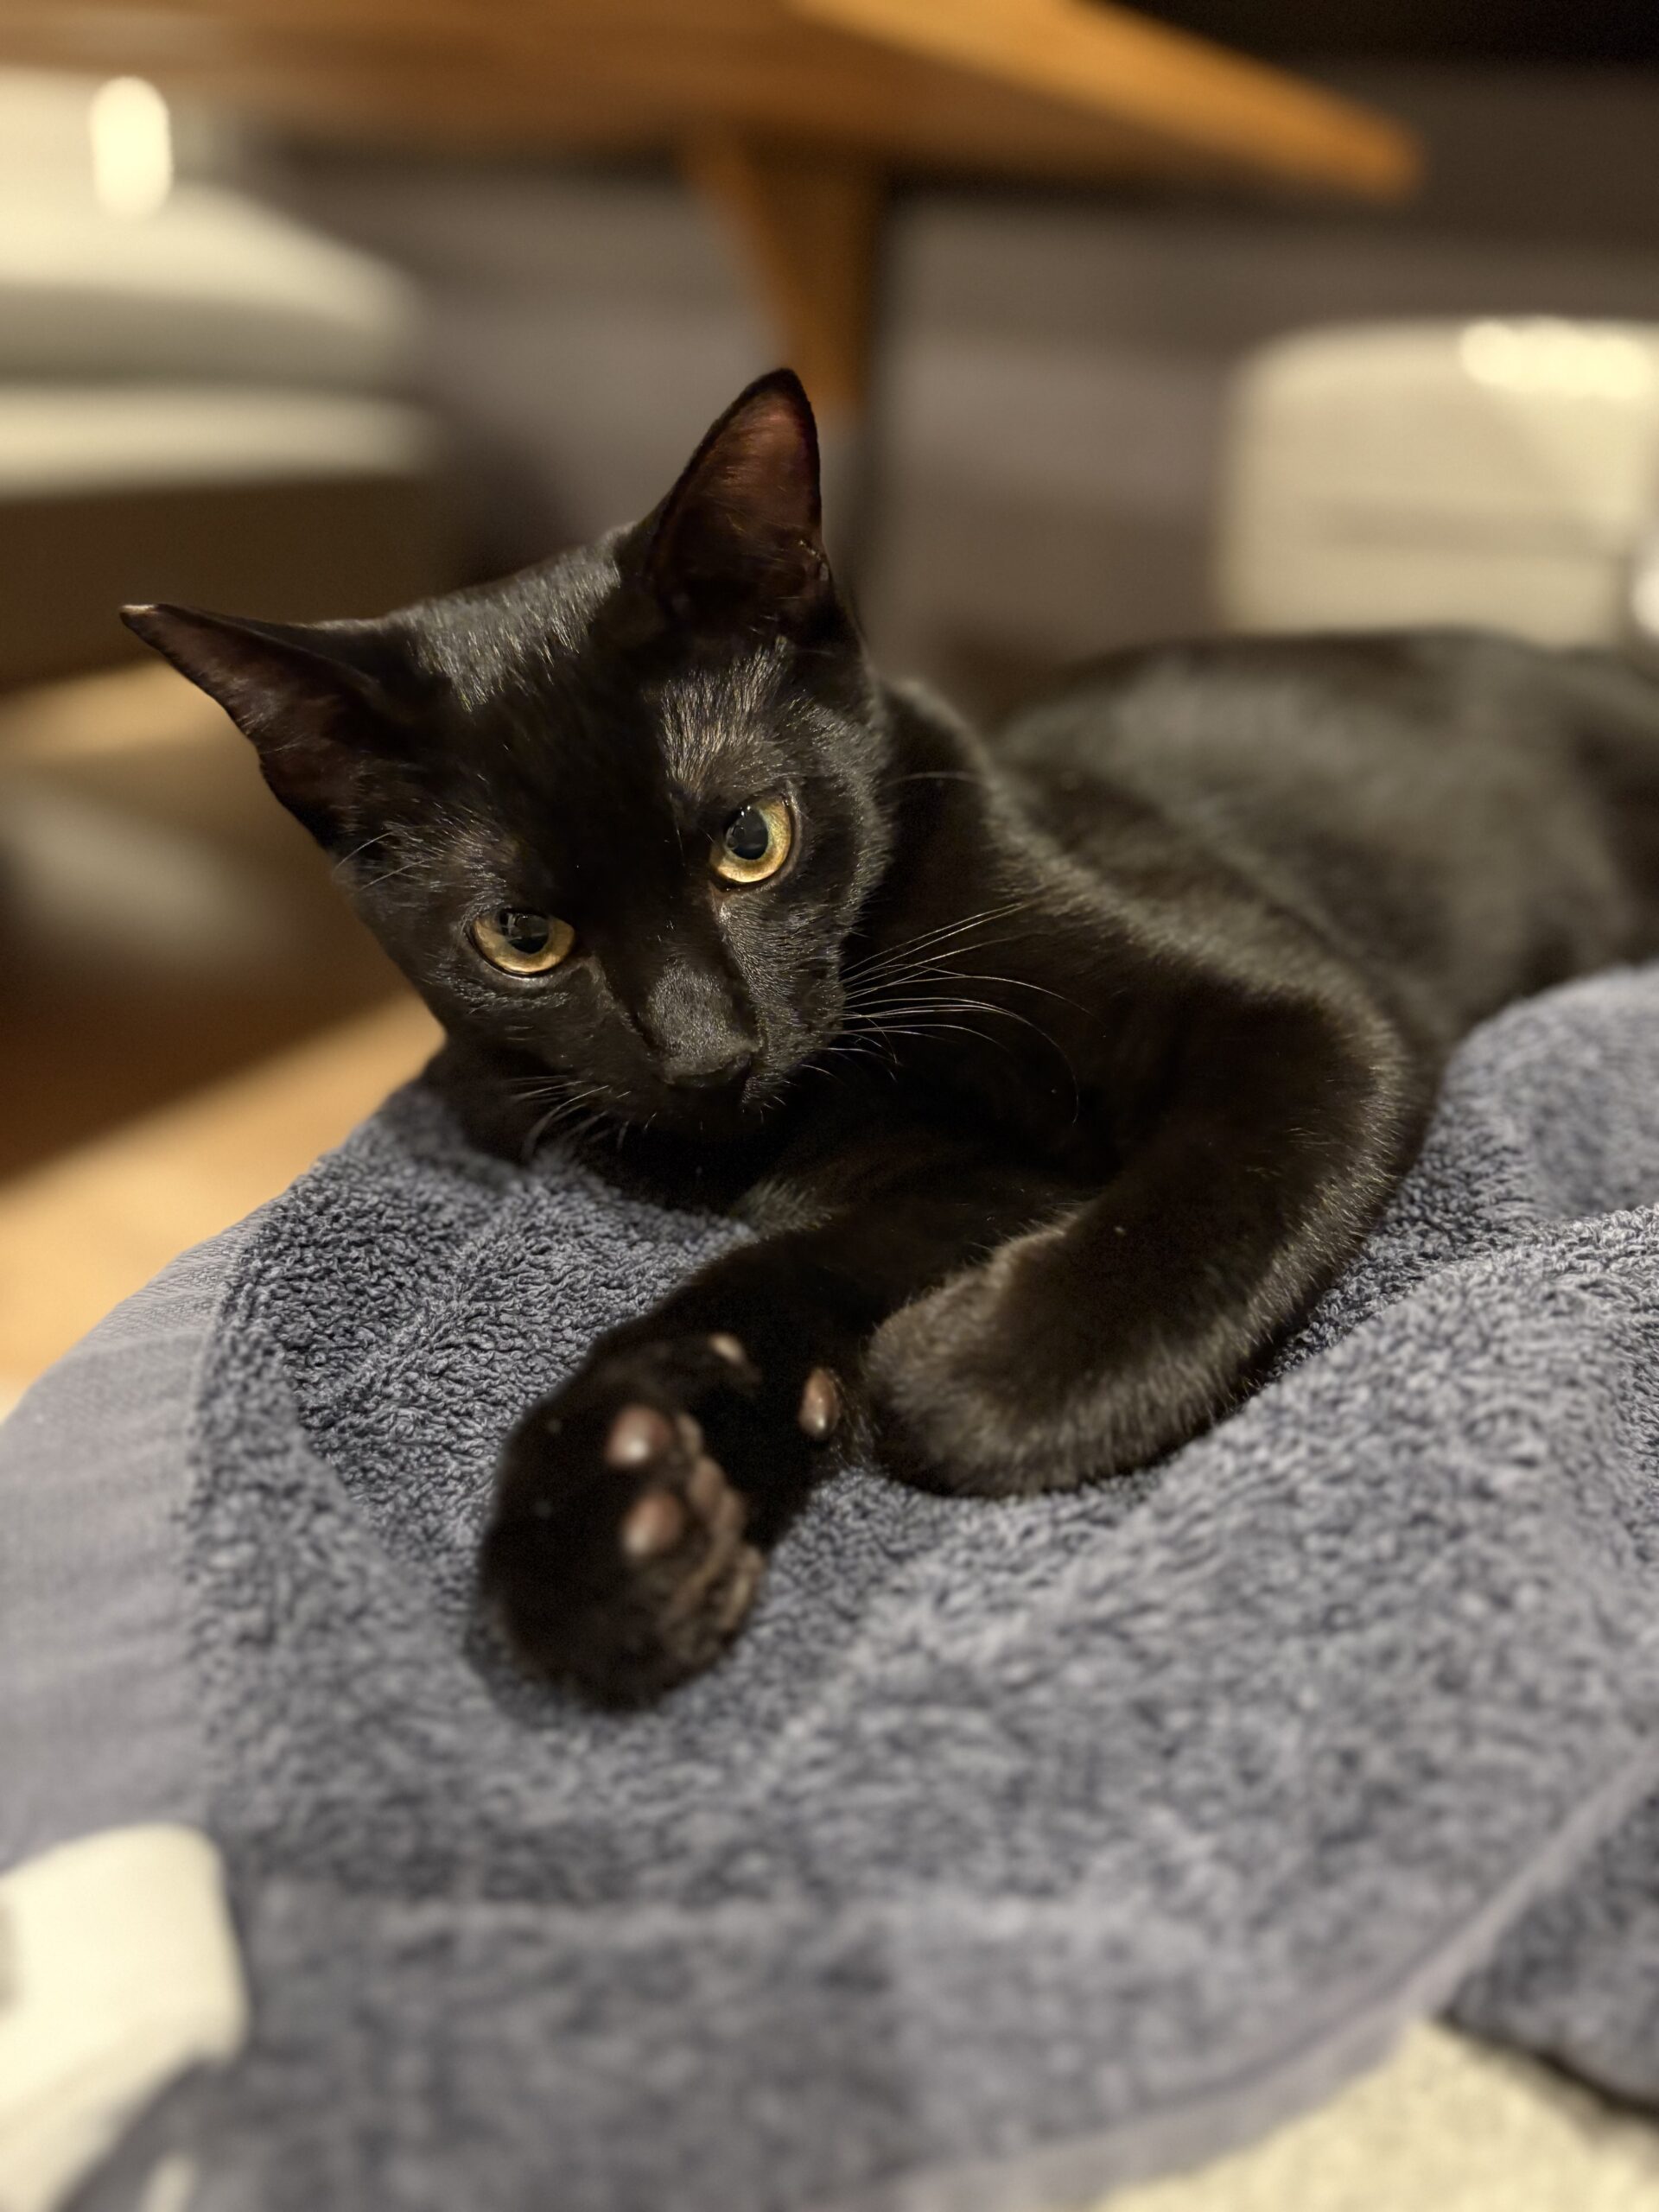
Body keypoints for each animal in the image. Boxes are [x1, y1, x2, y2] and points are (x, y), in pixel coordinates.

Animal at [126, 368, 1659, 1707]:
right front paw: (620, 1503)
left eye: (753, 840)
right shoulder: (957, 1180)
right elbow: (776, 1275)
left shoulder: (1312, 1010)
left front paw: (967, 1380)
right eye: (522, 939)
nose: (708, 1050)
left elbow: (1223, 1195)